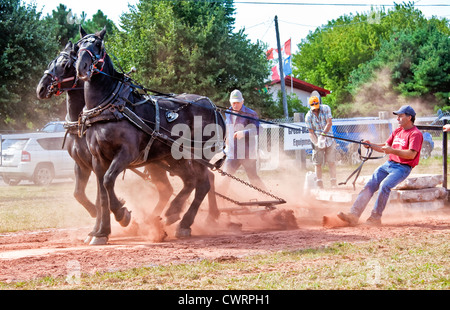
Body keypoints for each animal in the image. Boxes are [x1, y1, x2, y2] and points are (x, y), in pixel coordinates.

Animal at [75, 27, 227, 245]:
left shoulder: (126, 154)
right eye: (78, 46)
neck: (110, 106)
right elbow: (102, 193)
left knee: (203, 184)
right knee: (190, 182)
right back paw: (170, 213)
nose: (82, 67)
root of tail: (214, 107)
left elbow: (108, 181)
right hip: (174, 157)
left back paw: (183, 223)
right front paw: (101, 232)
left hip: (198, 155)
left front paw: (122, 214)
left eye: (97, 44)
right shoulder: (98, 158)